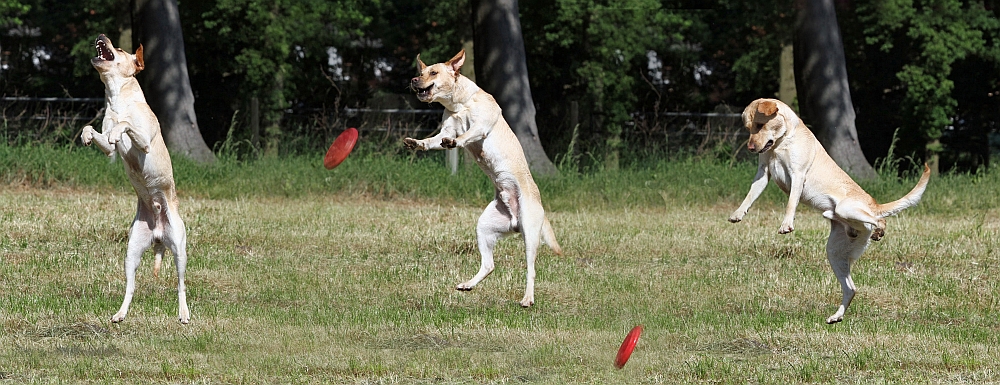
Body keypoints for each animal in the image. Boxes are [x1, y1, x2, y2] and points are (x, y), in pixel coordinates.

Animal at [80, 33, 189, 324]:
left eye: (118, 48)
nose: (101, 36)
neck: (118, 100)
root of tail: (159, 236)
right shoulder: (108, 148)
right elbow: (95, 131)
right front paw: (86, 135)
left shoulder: (144, 141)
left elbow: (126, 125)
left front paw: (119, 129)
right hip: (131, 252)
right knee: (131, 286)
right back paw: (120, 313)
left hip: (179, 249)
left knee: (181, 284)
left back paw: (184, 313)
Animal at [404, 48, 564, 306]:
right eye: (421, 71)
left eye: (433, 72)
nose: (413, 79)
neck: (459, 104)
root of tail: (517, 220)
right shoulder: (445, 129)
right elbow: (432, 141)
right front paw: (417, 143)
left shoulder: (480, 125)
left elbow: (466, 135)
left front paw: (455, 142)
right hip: (485, 229)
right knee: (489, 265)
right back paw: (468, 284)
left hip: (530, 234)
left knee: (531, 269)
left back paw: (527, 298)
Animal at [728, 97, 928, 322]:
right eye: (748, 128)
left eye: (760, 125)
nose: (751, 147)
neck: (781, 142)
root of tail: (874, 204)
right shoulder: (763, 173)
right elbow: (750, 196)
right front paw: (738, 214)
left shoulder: (798, 175)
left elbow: (791, 203)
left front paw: (786, 224)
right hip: (835, 252)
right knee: (851, 289)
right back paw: (836, 316)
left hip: (846, 209)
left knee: (878, 219)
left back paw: (877, 229)